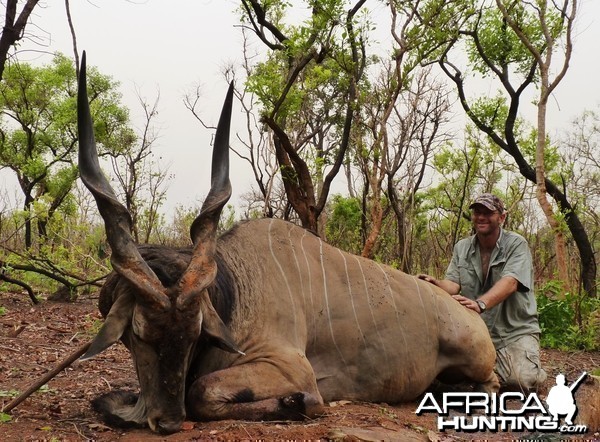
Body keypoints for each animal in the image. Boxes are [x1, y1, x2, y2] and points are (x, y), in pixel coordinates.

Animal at [77, 52, 500, 436]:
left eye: (194, 334)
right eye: (137, 335)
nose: (166, 421)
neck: (235, 290)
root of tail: (468, 315)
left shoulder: (290, 366)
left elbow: (201, 391)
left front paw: (297, 404)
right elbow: (109, 401)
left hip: (478, 360)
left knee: (492, 384)